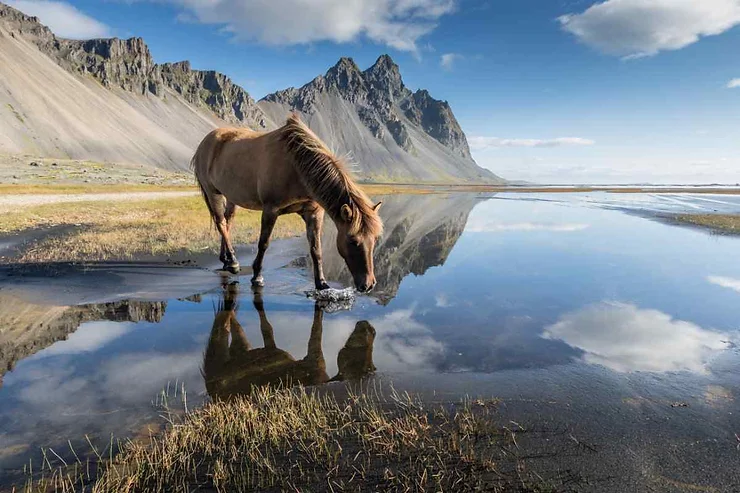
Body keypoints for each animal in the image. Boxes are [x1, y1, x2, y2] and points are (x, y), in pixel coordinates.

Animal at [191, 114, 384, 292]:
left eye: (375, 239)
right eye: (352, 240)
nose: (368, 285)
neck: (295, 165)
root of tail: (204, 144)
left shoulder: (314, 213)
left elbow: (316, 249)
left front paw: (321, 283)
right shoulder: (270, 210)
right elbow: (264, 243)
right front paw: (257, 276)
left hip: (231, 196)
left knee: (228, 221)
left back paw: (225, 260)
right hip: (213, 192)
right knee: (221, 223)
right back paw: (233, 262)